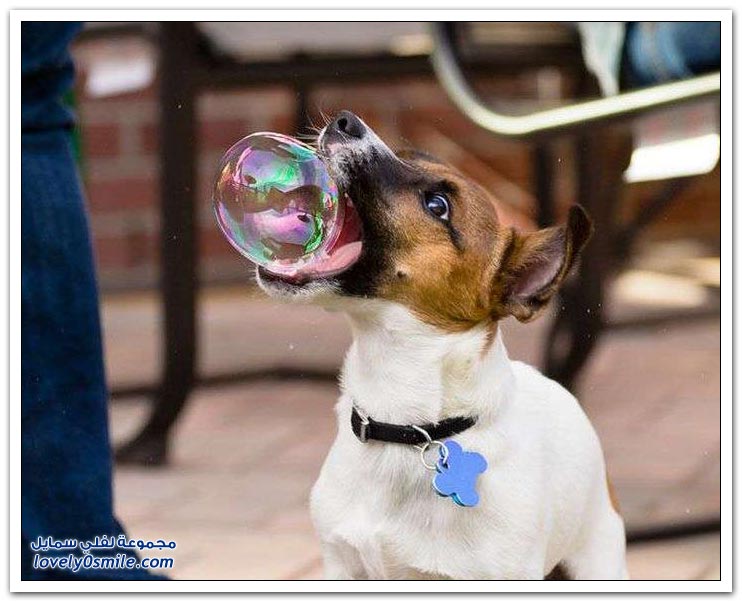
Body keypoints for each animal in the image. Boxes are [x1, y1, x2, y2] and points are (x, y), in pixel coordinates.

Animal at [257, 111, 627, 580]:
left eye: (437, 206)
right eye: (406, 156)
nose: (346, 120)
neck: (405, 424)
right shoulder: (342, 564)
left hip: (597, 557)